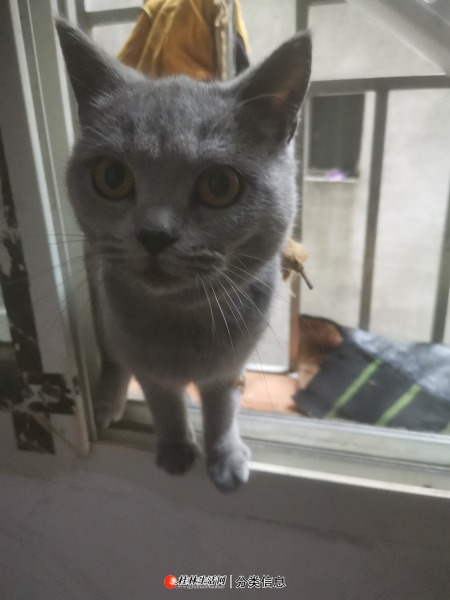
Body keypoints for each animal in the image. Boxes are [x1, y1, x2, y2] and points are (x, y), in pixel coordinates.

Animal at [56, 19, 311, 492]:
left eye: (219, 185)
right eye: (113, 177)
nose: (155, 234)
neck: (185, 321)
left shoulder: (231, 366)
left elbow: (222, 410)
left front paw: (225, 459)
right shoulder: (147, 365)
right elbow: (164, 403)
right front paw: (176, 451)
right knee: (114, 357)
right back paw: (107, 403)